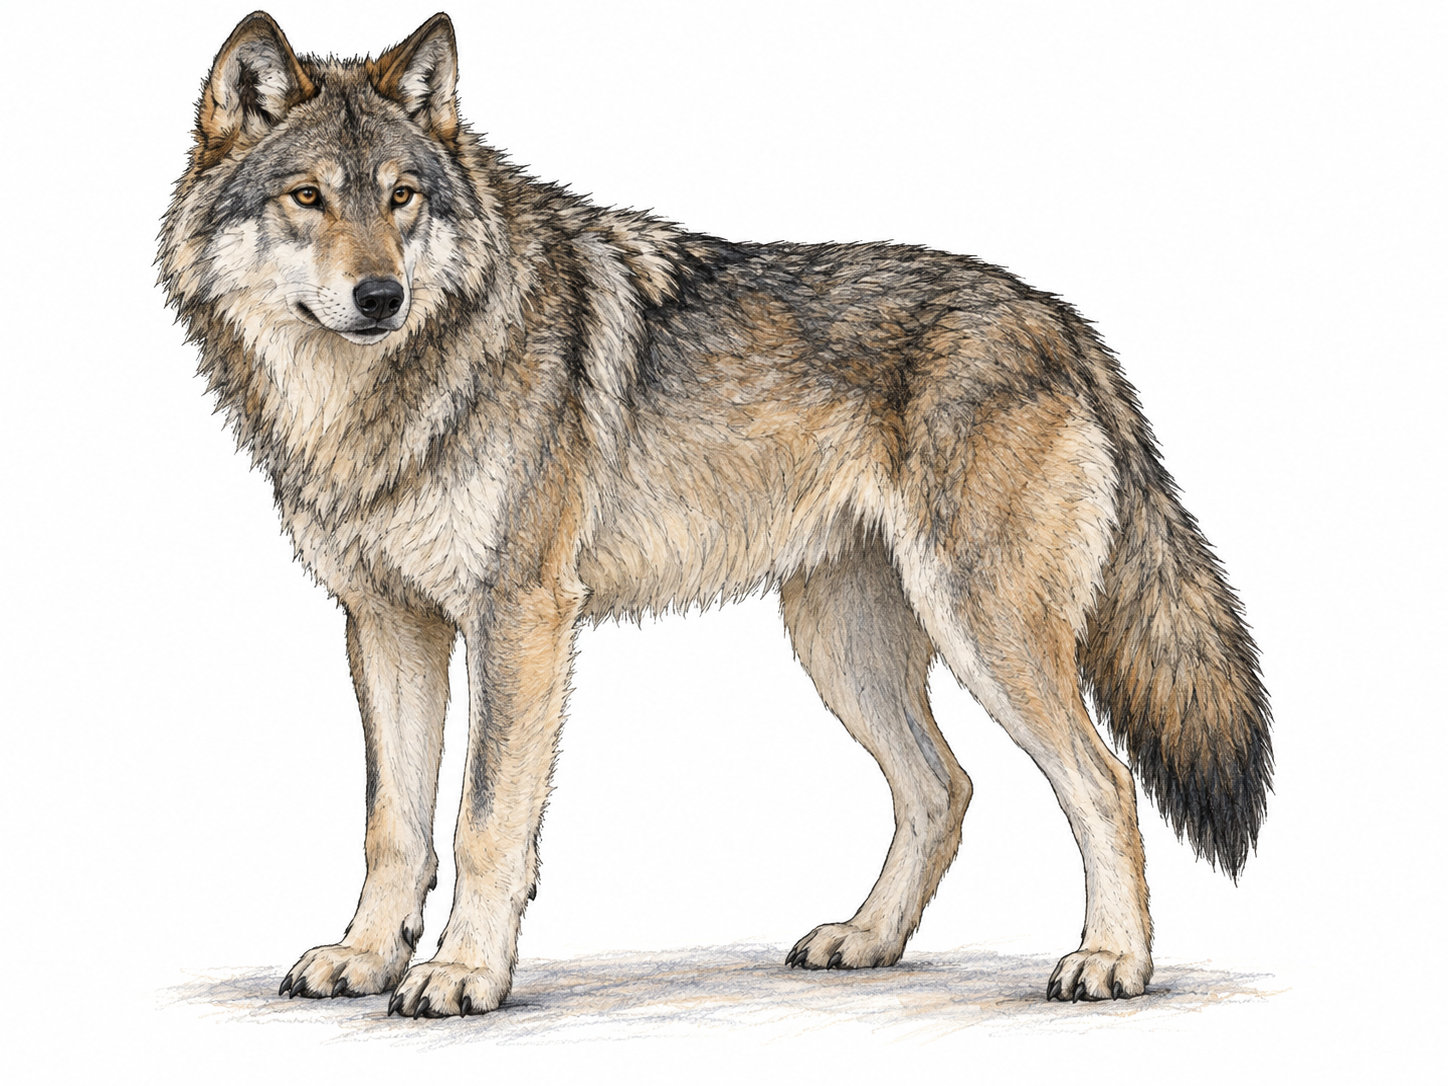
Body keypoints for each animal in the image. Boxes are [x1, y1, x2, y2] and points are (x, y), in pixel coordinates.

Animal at [160, 12, 1271, 1017]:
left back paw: (1111, 963)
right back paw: (865, 940)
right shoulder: (388, 624)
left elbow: (484, 822)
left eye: (401, 197)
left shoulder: (519, 616)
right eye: (308, 197)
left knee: (1102, 783)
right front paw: (363, 957)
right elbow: (393, 823)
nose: (380, 296)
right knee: (941, 787)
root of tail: (1062, 321)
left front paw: (462, 973)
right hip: (841, 645)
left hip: (984, 633)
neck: (376, 397)